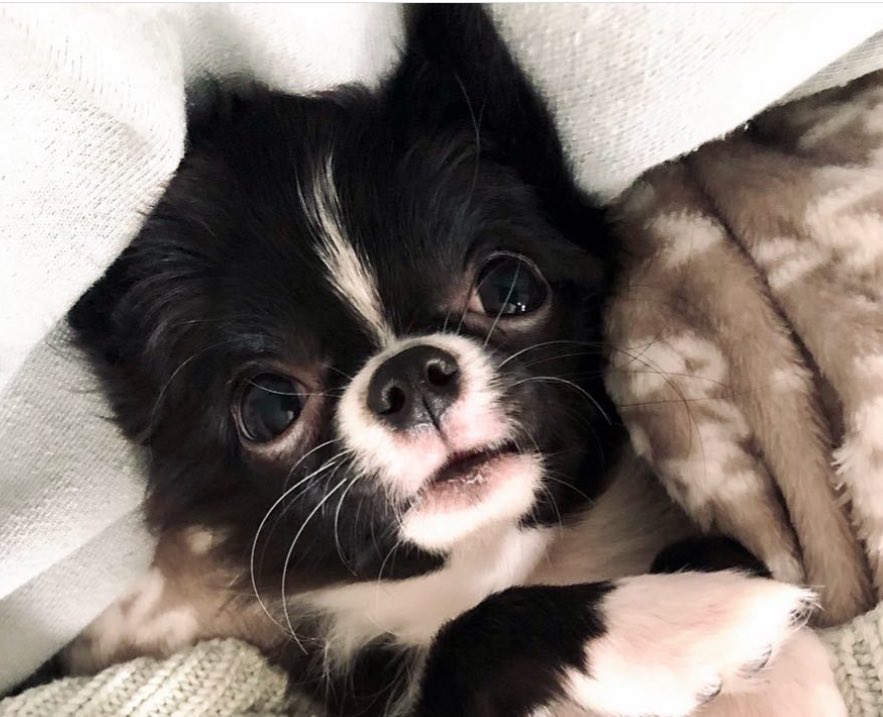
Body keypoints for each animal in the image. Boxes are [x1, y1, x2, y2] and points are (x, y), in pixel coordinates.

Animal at [66, 6, 845, 716]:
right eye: (268, 407)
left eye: (509, 288)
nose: (408, 377)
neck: (494, 560)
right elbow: (466, 636)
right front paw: (678, 622)